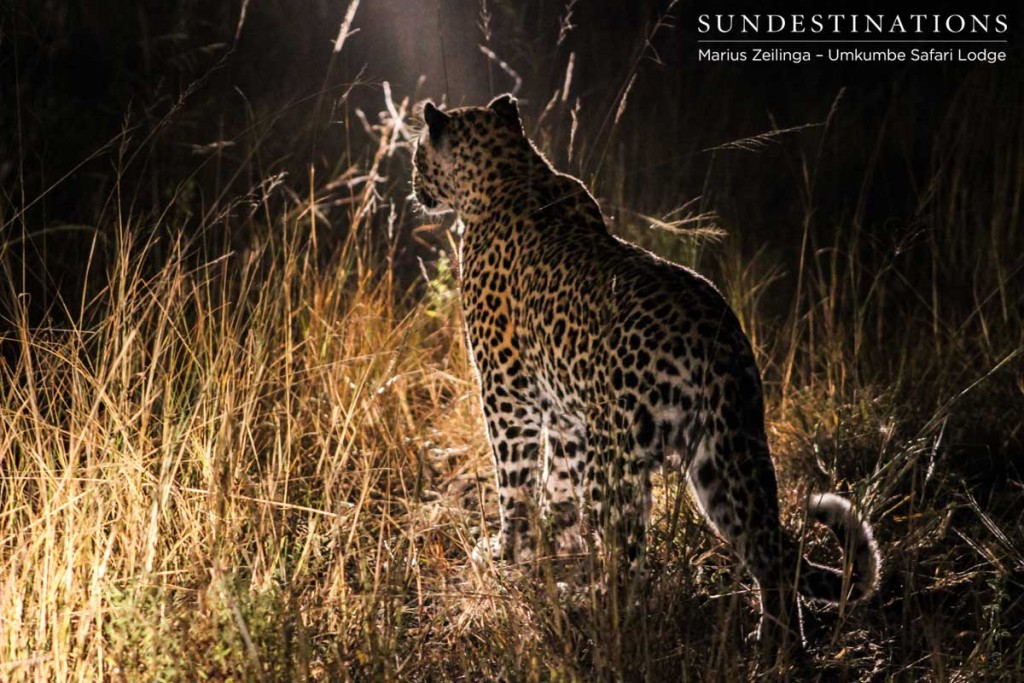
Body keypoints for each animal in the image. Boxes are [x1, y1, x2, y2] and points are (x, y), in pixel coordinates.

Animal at [407, 92, 880, 647]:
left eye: (418, 155)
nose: (414, 187)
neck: (510, 170)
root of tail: (716, 343)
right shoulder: (567, 416)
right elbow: (558, 489)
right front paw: (557, 550)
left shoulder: (507, 394)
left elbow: (515, 483)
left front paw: (509, 553)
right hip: (726, 451)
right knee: (771, 551)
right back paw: (777, 648)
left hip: (620, 459)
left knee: (631, 560)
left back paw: (591, 614)